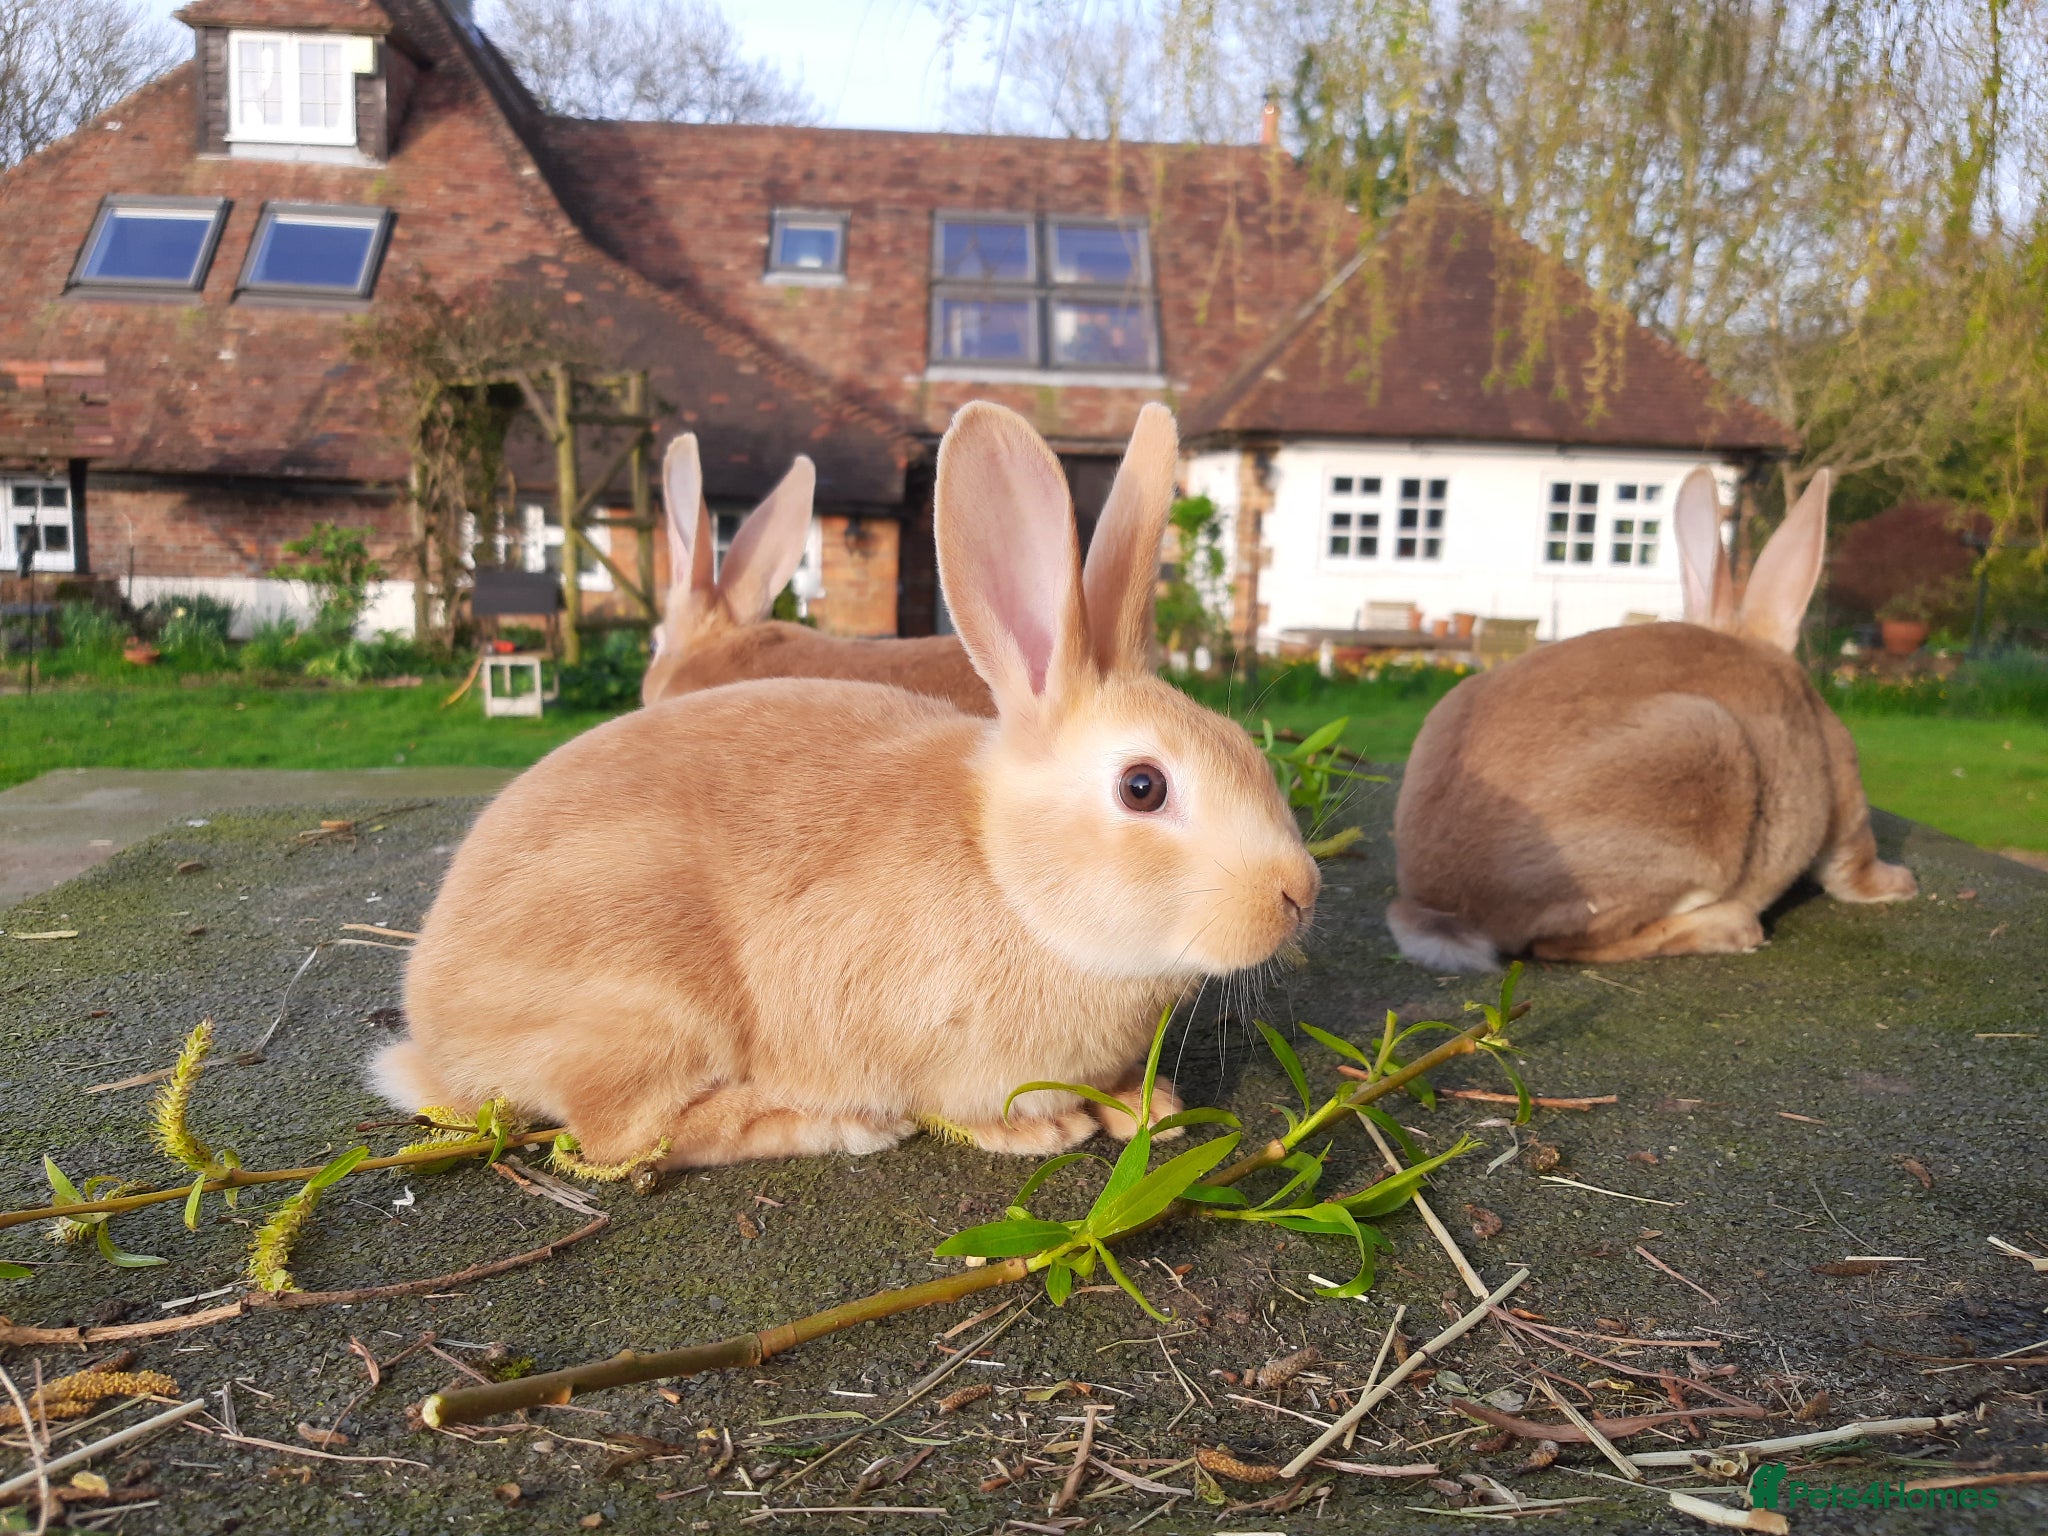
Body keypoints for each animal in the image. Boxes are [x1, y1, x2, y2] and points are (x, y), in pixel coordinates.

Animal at [1387, 465, 1915, 971]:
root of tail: (1441, 904)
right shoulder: (1846, 806)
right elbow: (1853, 866)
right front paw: (1899, 883)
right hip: (1704, 766)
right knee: (1564, 944)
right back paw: (1733, 927)